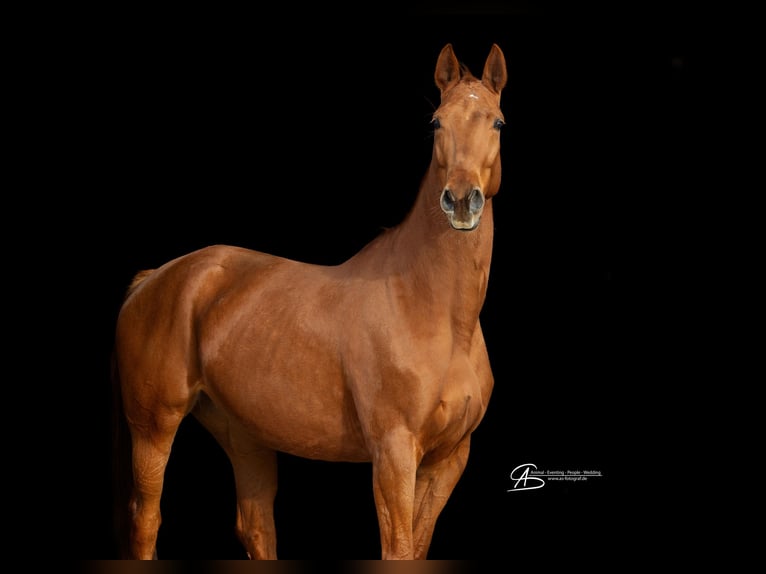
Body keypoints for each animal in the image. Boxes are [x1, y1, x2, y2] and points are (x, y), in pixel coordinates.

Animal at [112, 42, 507, 560]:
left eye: (498, 122)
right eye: (436, 122)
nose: (461, 200)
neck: (433, 311)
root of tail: (153, 279)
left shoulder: (450, 457)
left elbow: (417, 548)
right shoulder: (394, 452)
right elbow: (398, 549)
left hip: (243, 432)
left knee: (255, 526)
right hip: (153, 428)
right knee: (146, 521)